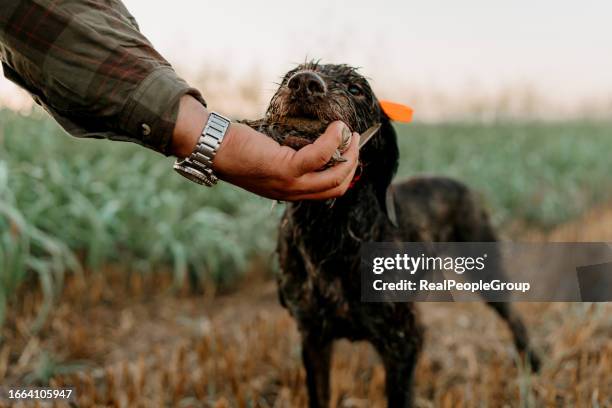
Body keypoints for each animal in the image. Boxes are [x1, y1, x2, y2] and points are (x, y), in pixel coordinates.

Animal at [241, 61, 536, 408]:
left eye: (356, 89)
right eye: (291, 74)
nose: (303, 83)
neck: (329, 230)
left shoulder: (403, 343)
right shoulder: (313, 337)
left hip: (486, 268)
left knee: (513, 315)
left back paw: (532, 361)